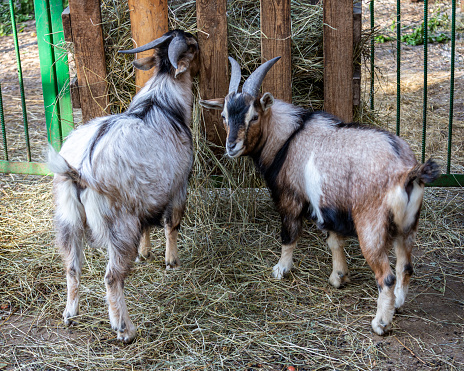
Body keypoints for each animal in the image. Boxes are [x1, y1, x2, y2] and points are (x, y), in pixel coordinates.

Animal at [47, 29, 199, 342]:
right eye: (191, 46)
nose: (199, 43)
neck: (161, 103)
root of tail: (80, 170)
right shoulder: (179, 186)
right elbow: (172, 223)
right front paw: (172, 261)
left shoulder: (145, 199)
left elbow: (148, 226)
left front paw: (144, 254)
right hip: (118, 225)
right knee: (111, 277)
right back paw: (124, 329)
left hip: (67, 220)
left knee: (71, 267)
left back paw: (70, 315)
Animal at [199, 57, 438, 338]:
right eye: (224, 116)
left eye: (254, 116)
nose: (231, 147)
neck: (288, 138)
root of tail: (405, 171)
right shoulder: (327, 206)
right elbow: (334, 241)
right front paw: (339, 277)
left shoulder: (290, 198)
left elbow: (289, 235)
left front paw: (281, 269)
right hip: (408, 227)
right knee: (405, 267)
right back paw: (398, 305)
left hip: (371, 228)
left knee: (386, 277)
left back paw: (381, 323)